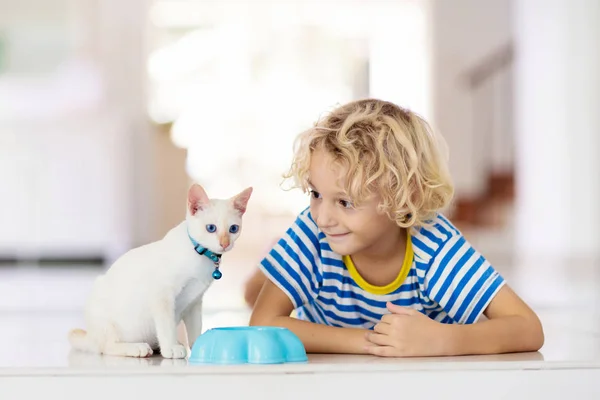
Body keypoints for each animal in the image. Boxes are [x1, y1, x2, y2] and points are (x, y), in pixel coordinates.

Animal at [69, 183, 252, 358]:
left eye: (233, 229)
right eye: (211, 228)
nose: (225, 243)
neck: (200, 255)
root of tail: (90, 336)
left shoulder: (194, 302)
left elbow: (196, 327)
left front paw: (198, 347)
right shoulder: (162, 295)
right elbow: (166, 325)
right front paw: (170, 348)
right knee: (106, 347)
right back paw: (137, 348)